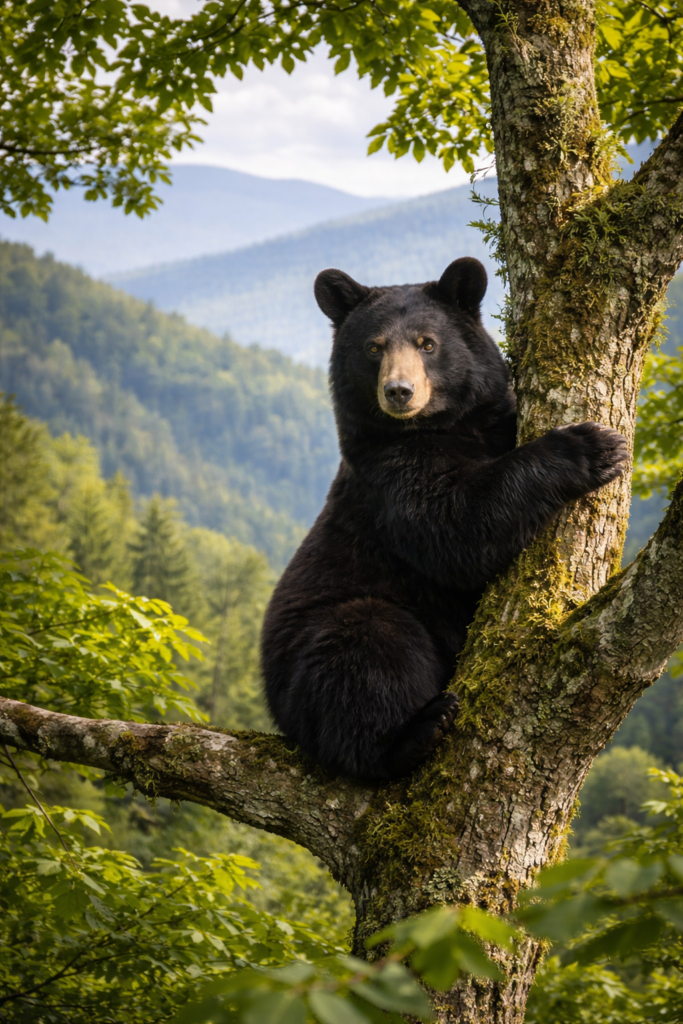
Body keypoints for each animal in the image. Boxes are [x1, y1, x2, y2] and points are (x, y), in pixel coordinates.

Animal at [261, 257, 628, 782]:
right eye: (374, 347)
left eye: (427, 343)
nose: (399, 391)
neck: (442, 427)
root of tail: (275, 710)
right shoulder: (389, 475)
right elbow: (457, 526)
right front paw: (591, 445)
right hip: (319, 646)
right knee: (366, 655)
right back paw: (414, 731)